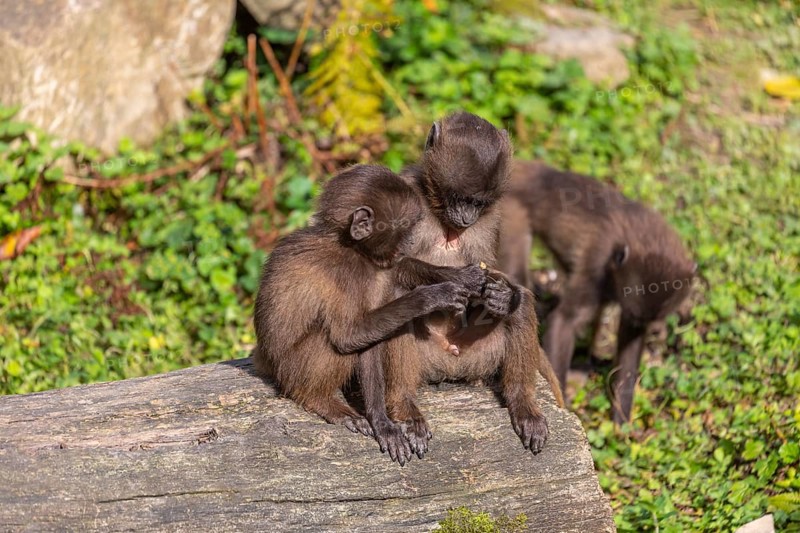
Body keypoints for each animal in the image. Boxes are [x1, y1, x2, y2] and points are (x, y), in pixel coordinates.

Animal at [253, 164, 485, 465]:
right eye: (404, 229)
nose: (408, 245)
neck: (346, 243)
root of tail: (267, 360)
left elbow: (391, 284)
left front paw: (459, 277)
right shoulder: (349, 275)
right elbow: (349, 335)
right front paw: (432, 297)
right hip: (293, 369)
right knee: (334, 340)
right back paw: (319, 400)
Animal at [383, 112, 565, 459]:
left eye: (478, 203)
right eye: (458, 198)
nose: (466, 218)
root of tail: (451, 362)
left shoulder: (492, 218)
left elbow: (499, 276)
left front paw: (501, 298)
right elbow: (392, 265)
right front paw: (456, 279)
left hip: (478, 355)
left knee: (523, 305)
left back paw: (523, 404)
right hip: (428, 359)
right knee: (399, 298)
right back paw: (404, 406)